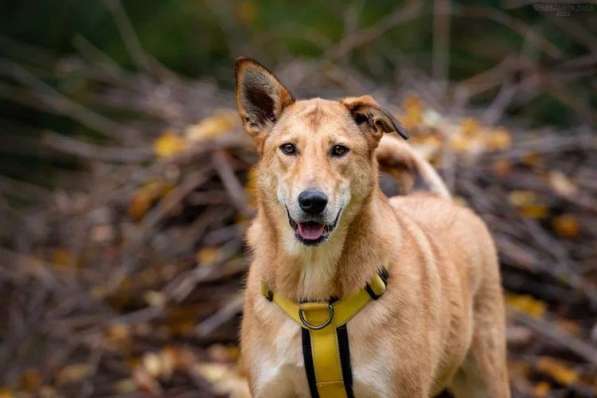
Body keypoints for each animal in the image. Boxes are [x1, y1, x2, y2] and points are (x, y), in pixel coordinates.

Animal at [235, 56, 510, 398]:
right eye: (288, 148)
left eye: (339, 150)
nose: (312, 201)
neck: (315, 295)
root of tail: (428, 195)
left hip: (486, 377)